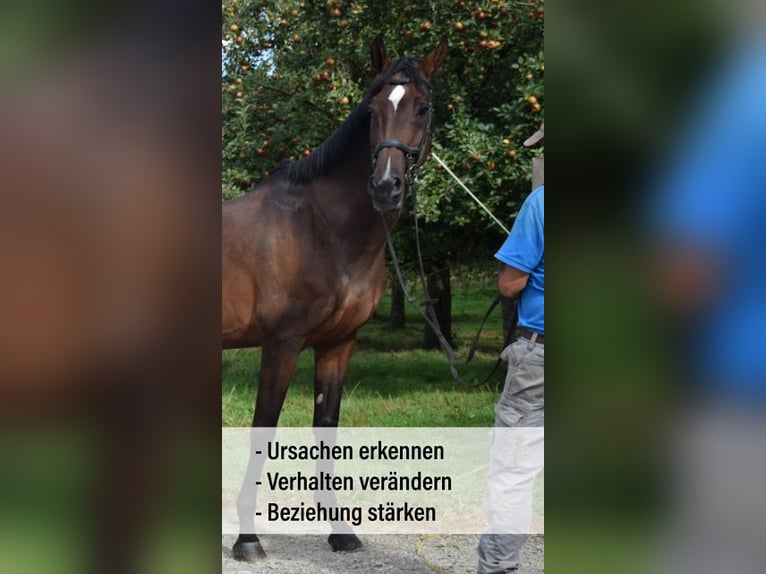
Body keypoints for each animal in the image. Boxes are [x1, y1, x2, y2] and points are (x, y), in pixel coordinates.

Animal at [221, 34, 448, 561]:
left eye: (423, 108)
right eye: (372, 110)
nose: (386, 187)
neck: (323, 227)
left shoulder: (338, 345)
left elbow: (327, 426)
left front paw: (341, 532)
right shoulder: (281, 344)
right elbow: (264, 426)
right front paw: (248, 539)